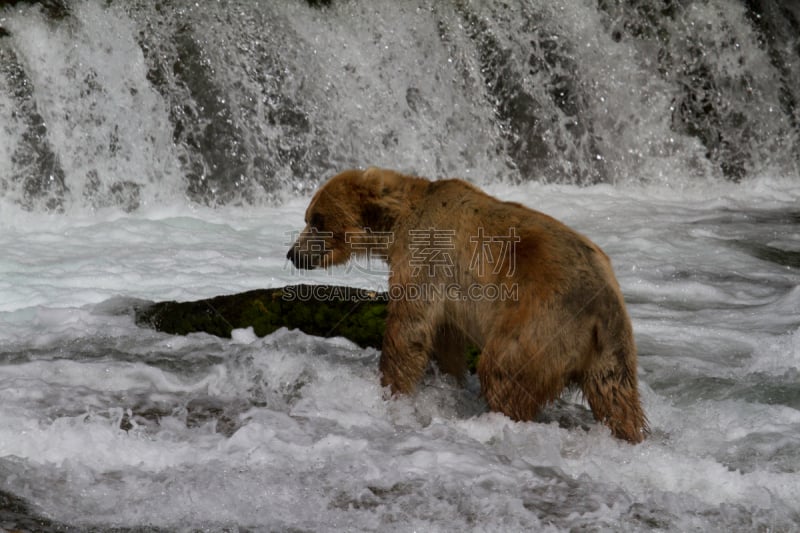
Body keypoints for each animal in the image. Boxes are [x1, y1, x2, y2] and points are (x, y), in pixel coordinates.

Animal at [288, 166, 648, 440]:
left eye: (316, 220)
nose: (293, 254)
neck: (397, 220)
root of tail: (601, 305)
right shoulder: (449, 295)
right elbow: (445, 337)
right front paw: (449, 380)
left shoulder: (426, 258)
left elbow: (409, 328)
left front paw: (392, 391)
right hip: (611, 349)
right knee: (616, 396)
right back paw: (629, 434)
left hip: (541, 320)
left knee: (502, 369)